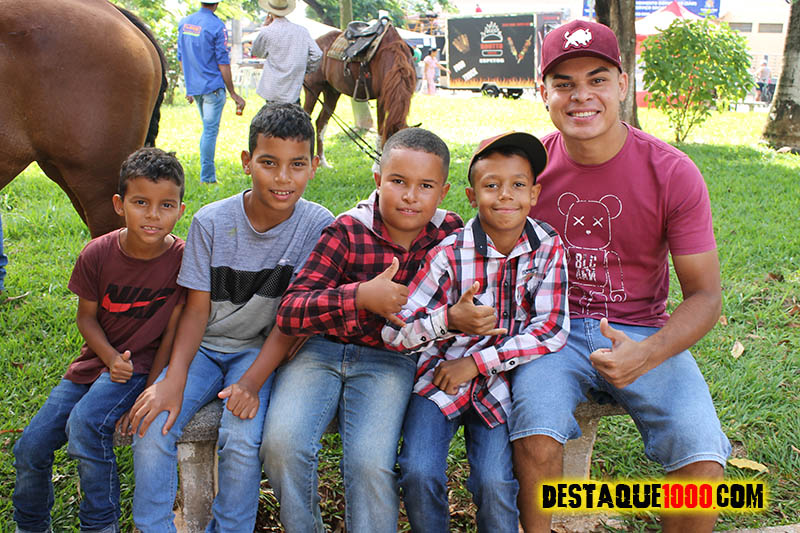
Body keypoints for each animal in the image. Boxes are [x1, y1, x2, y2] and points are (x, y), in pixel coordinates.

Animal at [303, 24, 416, 167]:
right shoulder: (381, 98)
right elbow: (380, 132)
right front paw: (376, 167)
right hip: (312, 90)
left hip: (332, 93)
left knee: (321, 123)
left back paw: (323, 162)